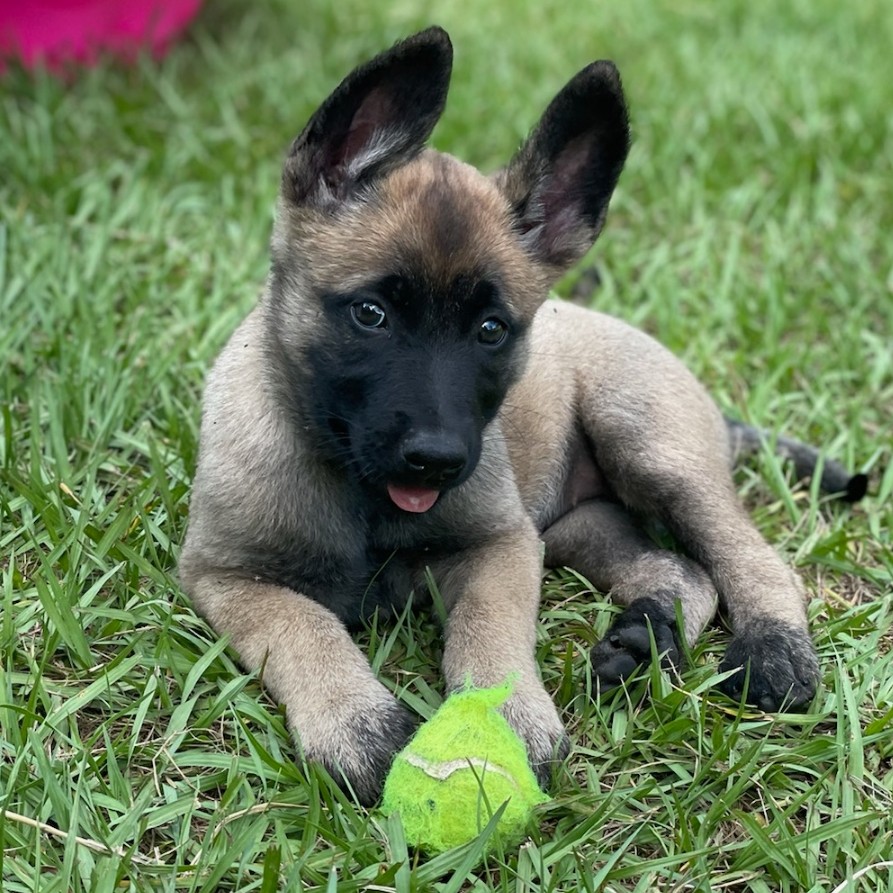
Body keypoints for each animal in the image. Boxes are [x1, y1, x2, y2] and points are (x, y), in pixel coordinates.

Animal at [176, 27, 864, 804]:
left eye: (491, 330)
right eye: (370, 314)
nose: (437, 459)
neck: (355, 487)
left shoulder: (501, 546)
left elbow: (489, 629)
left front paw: (501, 720)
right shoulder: (225, 577)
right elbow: (302, 625)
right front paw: (353, 721)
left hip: (646, 447)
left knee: (751, 559)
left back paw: (770, 648)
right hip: (574, 526)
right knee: (678, 568)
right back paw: (645, 638)